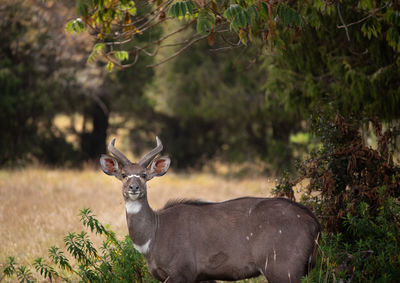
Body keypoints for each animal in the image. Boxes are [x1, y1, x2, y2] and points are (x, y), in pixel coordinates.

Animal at [101, 138, 322, 283]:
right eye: (123, 174)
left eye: (144, 175)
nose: (134, 188)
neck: (153, 234)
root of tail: (313, 223)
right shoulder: (200, 277)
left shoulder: (181, 273)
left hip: (283, 269)